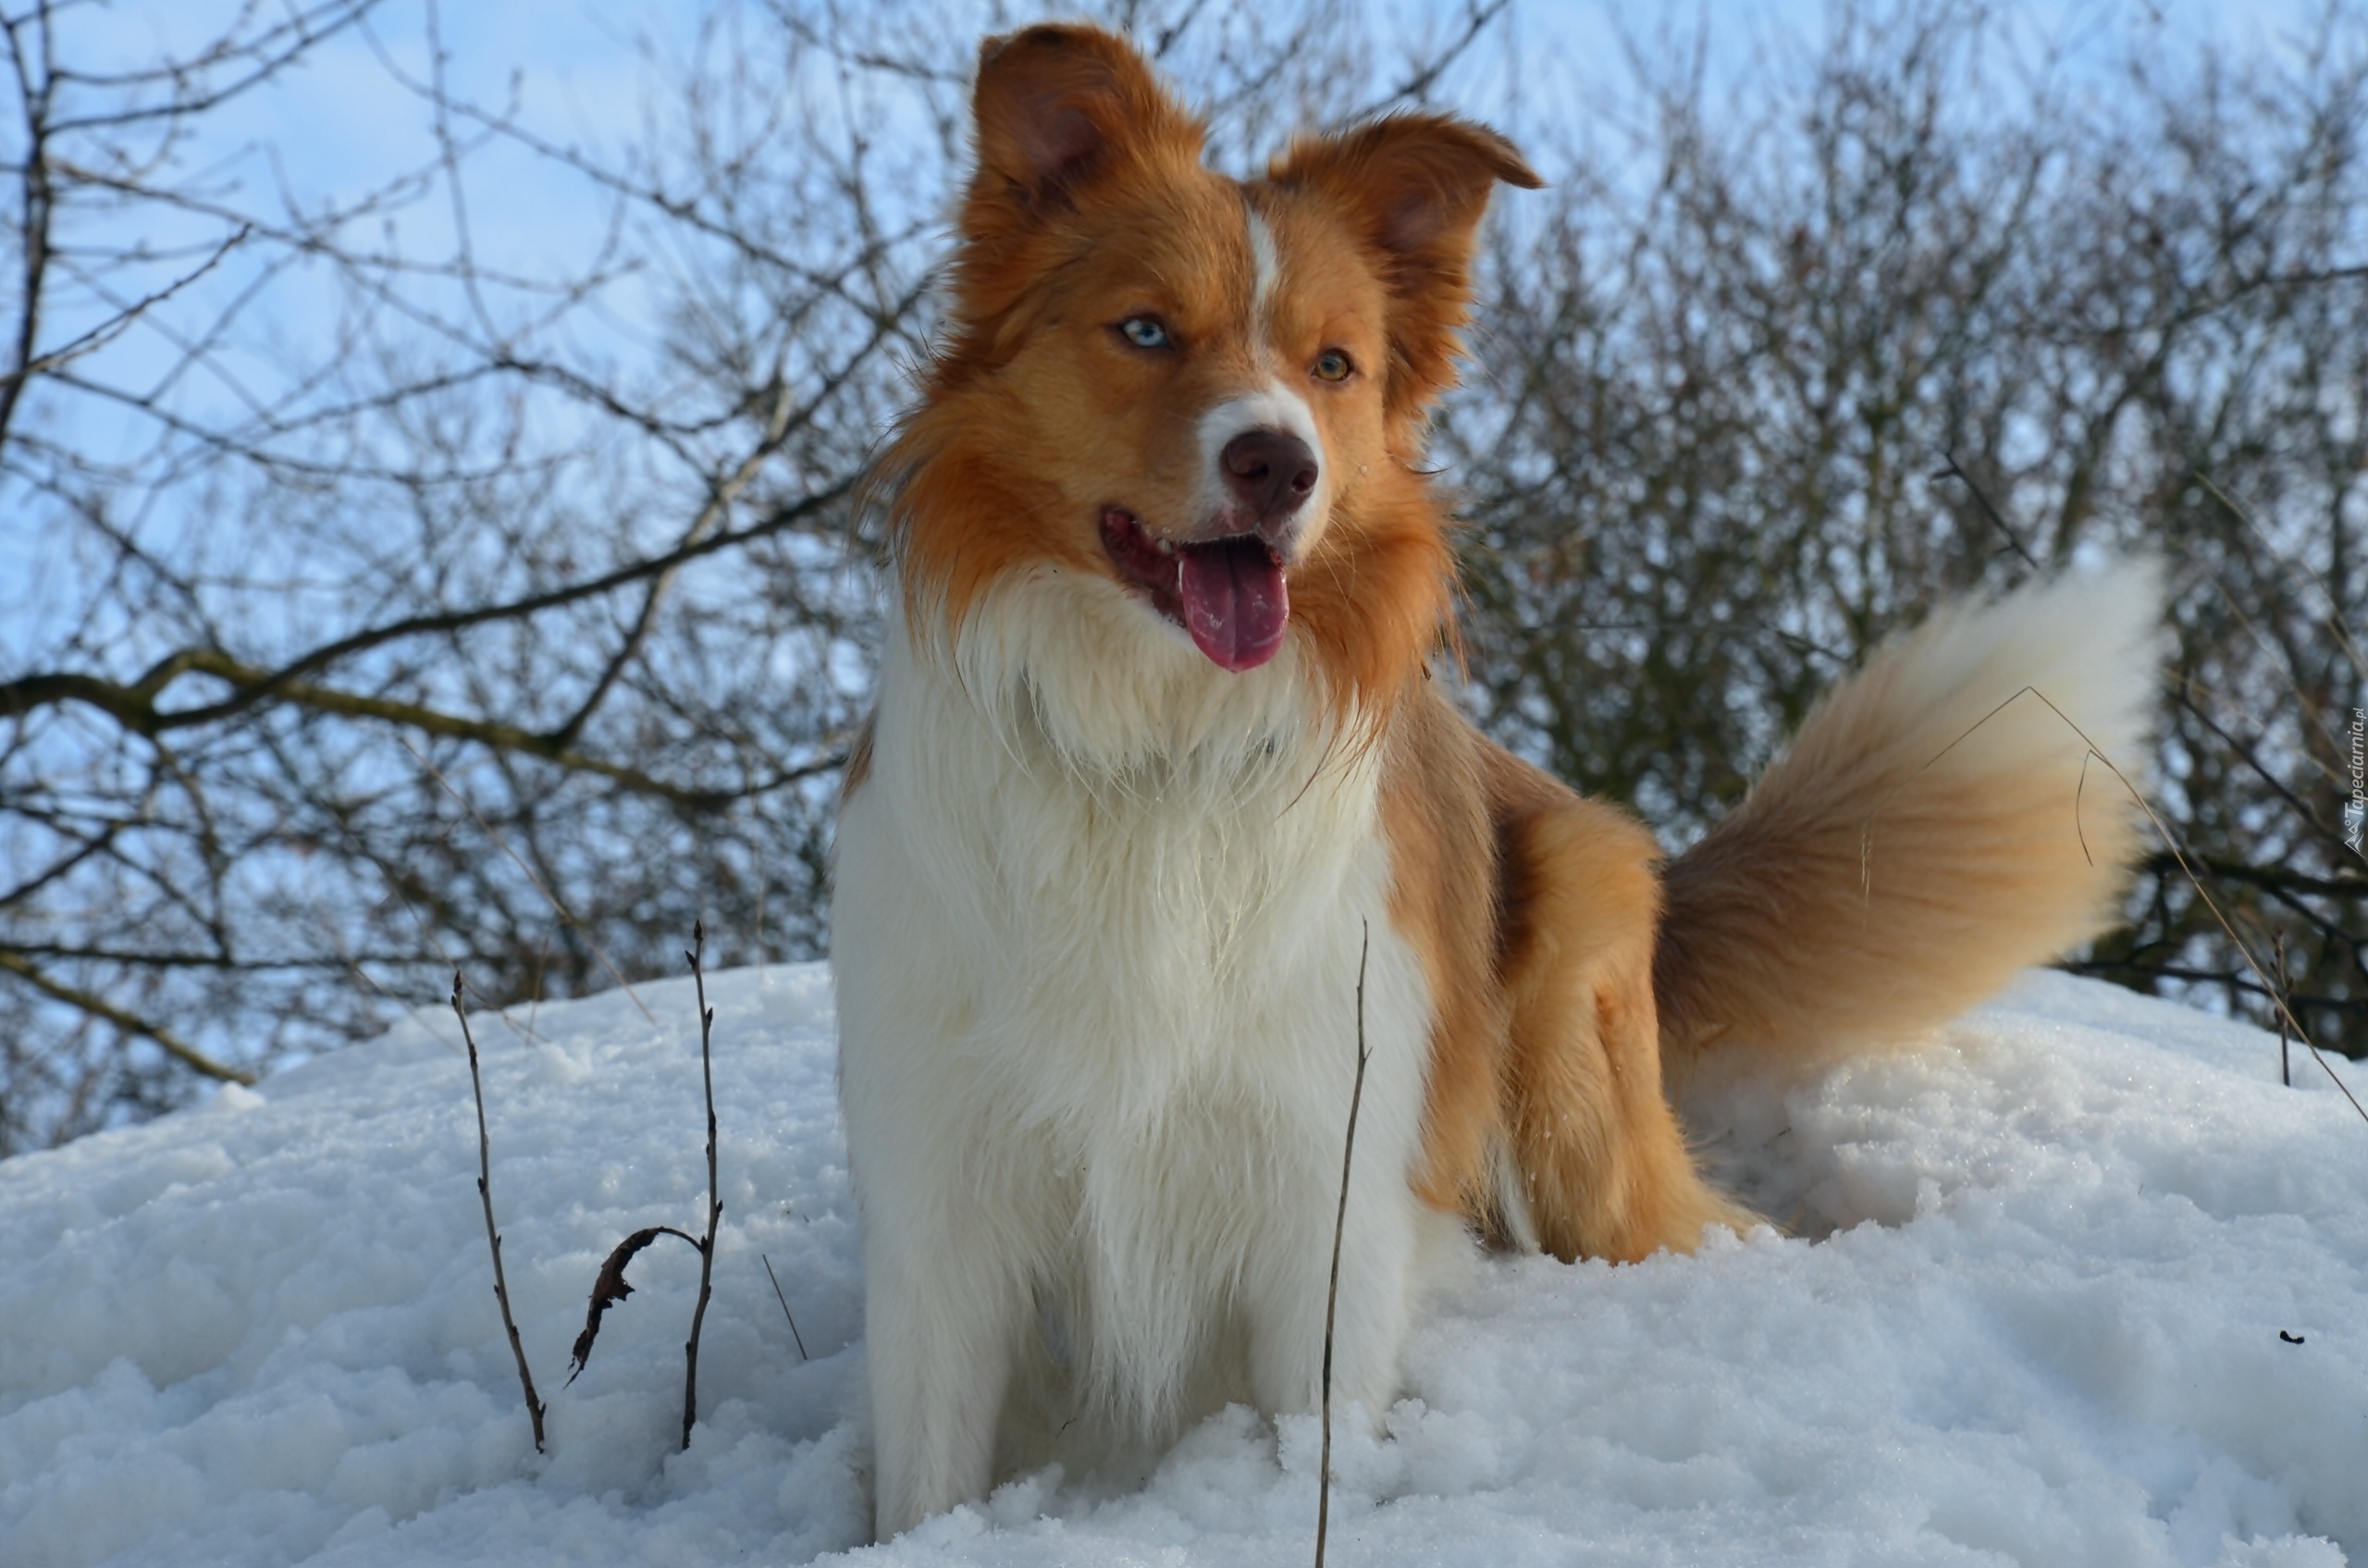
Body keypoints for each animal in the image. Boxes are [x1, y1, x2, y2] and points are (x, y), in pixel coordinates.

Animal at [838, 21, 2168, 1544]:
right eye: (1146, 330)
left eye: (1334, 363)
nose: (1278, 462)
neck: (1154, 748)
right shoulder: (942, 1199)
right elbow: (927, 1476)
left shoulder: (1328, 1178)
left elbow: (1316, 1441)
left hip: (1573, 1052)